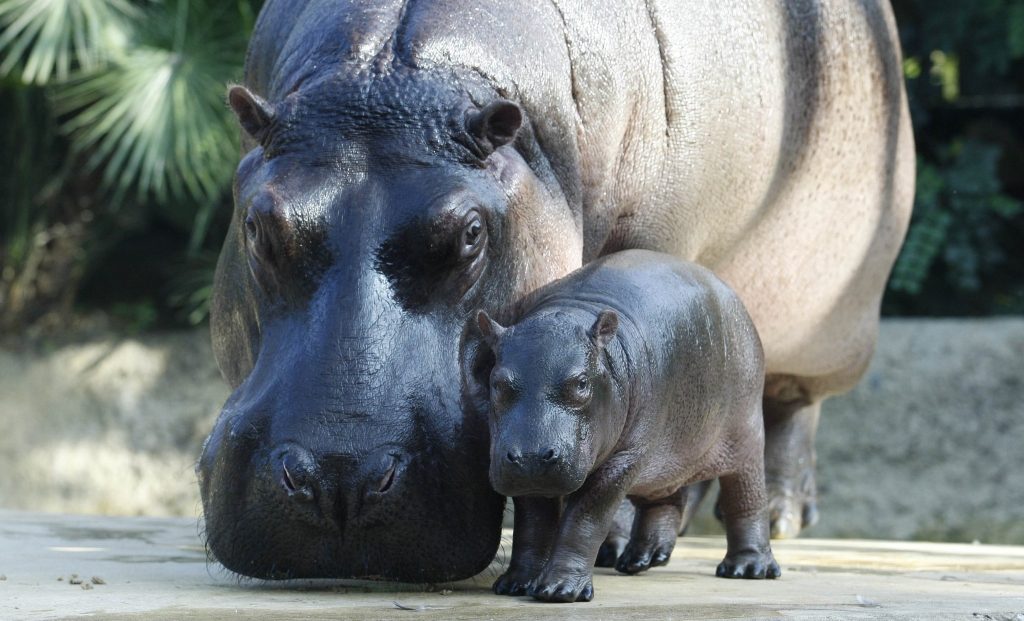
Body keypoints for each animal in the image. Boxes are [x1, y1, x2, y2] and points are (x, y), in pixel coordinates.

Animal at [460, 247, 778, 602]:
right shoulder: (530, 473)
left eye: (581, 382)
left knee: (746, 496)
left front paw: (560, 590)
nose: (529, 456)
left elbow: (585, 519)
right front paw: (515, 584)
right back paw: (640, 560)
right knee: (666, 499)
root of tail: (730, 293)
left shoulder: (625, 458)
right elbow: (533, 523)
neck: (572, 313)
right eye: (497, 382)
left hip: (744, 433)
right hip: (667, 454)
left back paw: (747, 569)